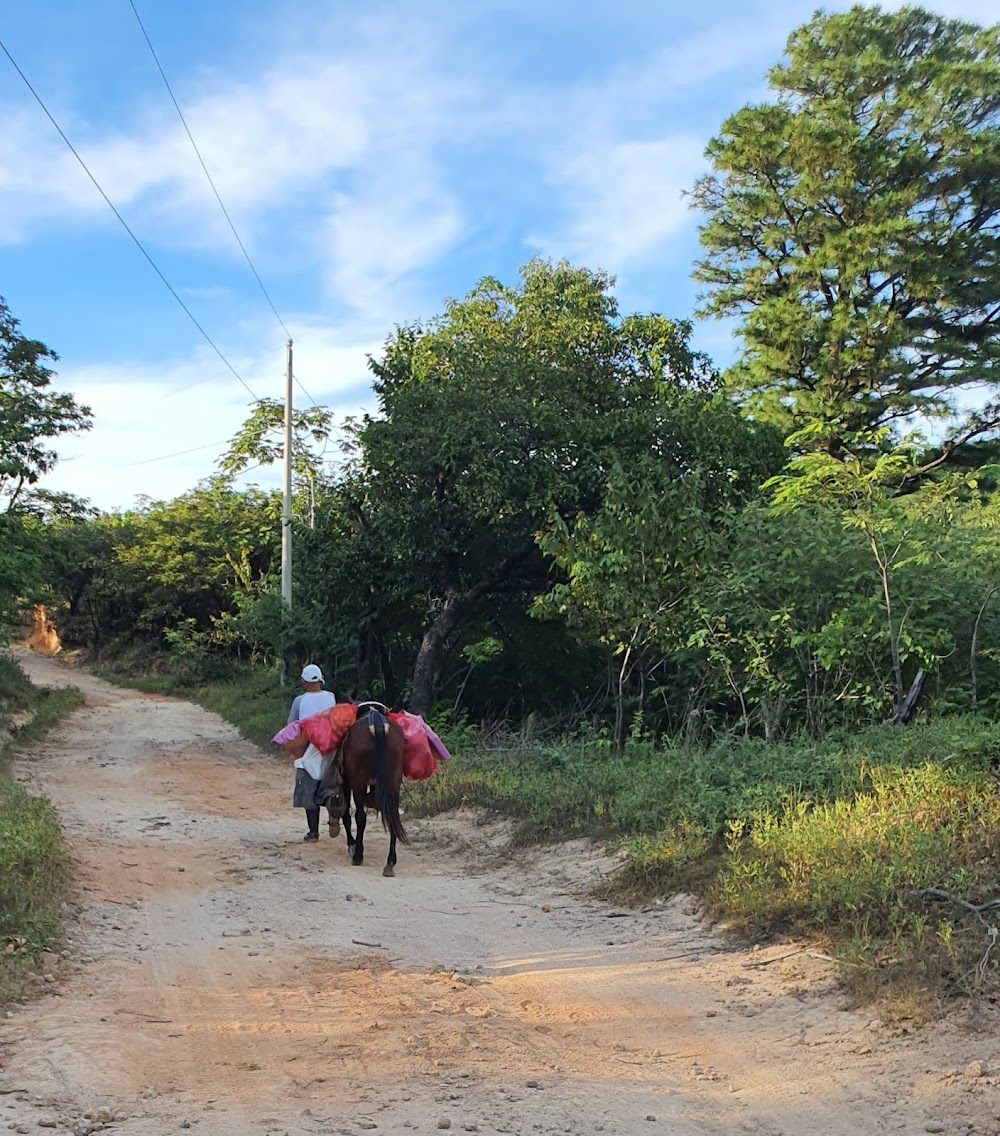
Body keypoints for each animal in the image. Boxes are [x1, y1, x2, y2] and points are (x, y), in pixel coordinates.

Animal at [327, 704, 409, 872]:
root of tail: (377, 724)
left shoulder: (347, 784)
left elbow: (347, 815)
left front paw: (352, 845)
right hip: (393, 780)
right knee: (392, 815)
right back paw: (390, 862)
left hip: (359, 782)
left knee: (360, 817)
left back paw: (358, 855)